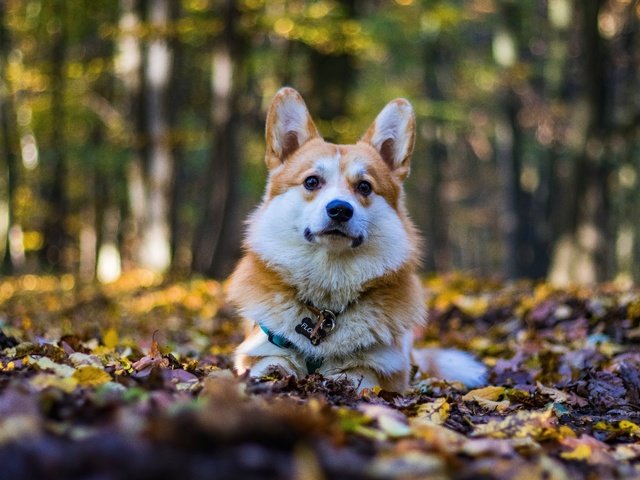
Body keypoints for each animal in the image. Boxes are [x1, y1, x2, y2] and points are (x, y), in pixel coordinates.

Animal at [230, 88, 484, 392]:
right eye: (312, 181)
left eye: (364, 186)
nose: (340, 209)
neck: (326, 304)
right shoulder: (259, 350)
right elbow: (268, 365)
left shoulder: (387, 367)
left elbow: (359, 377)